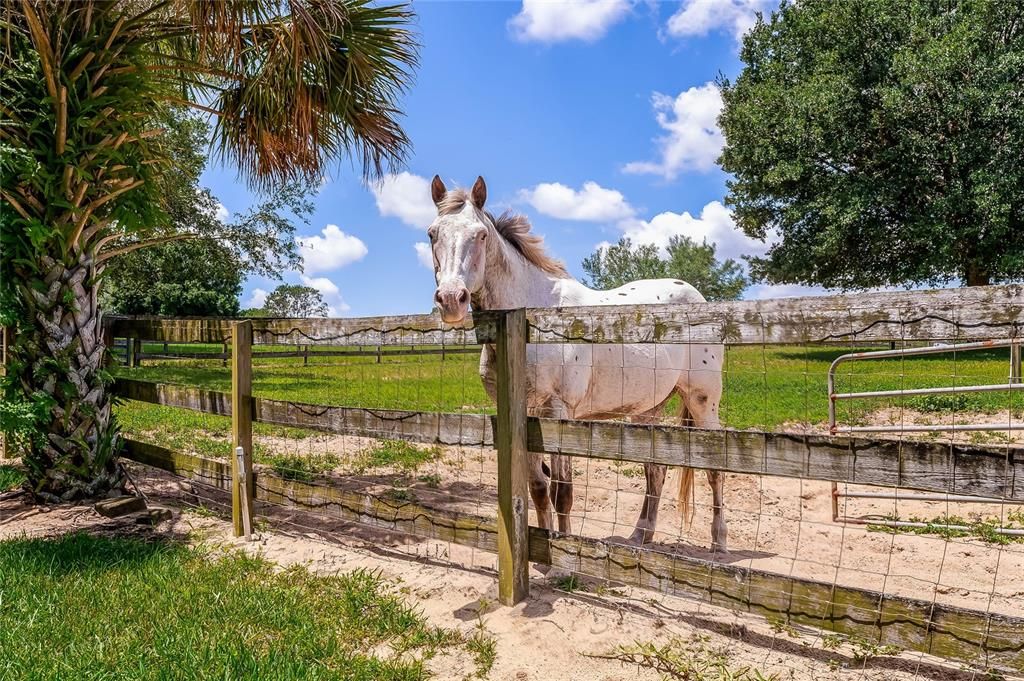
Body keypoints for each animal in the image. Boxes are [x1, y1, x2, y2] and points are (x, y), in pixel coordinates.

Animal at [428, 175, 733, 552]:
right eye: (433, 233)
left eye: (481, 235)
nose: (451, 300)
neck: (530, 321)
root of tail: (698, 298)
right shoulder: (526, 416)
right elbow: (538, 488)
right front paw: (540, 547)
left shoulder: (560, 412)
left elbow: (563, 492)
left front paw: (564, 548)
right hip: (649, 409)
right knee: (655, 471)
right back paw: (640, 536)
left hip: (703, 402)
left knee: (713, 470)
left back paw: (718, 544)